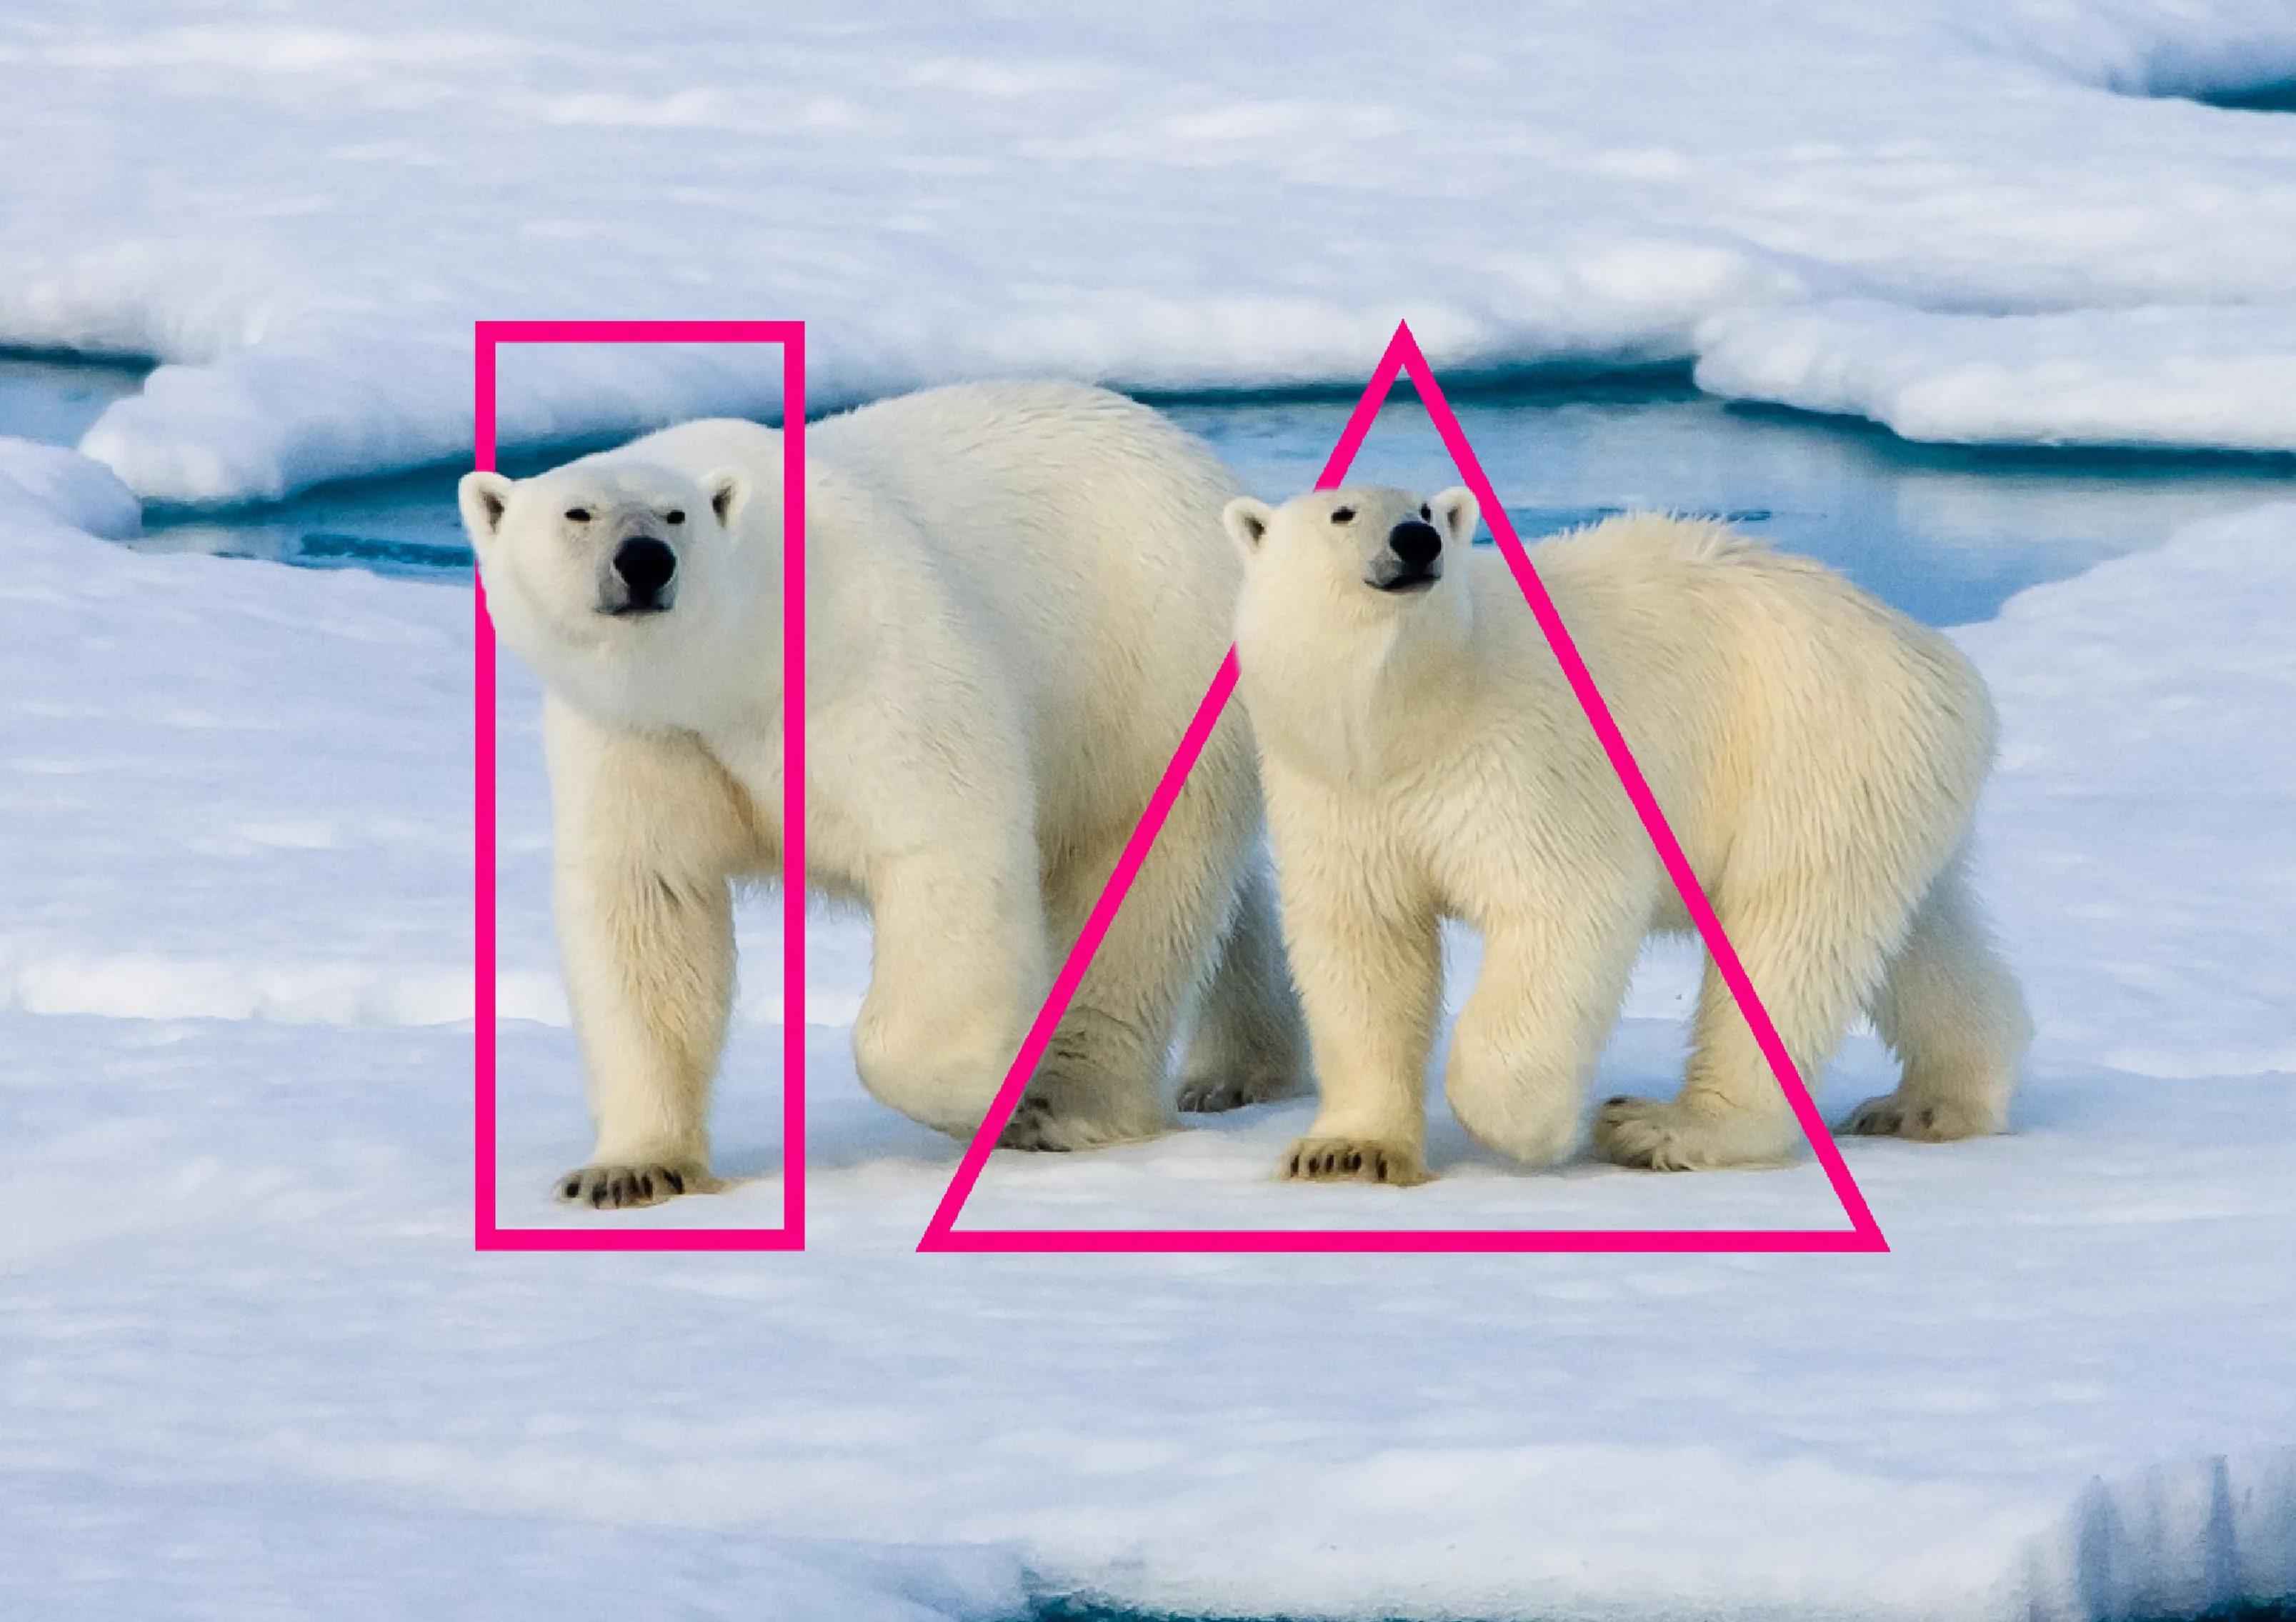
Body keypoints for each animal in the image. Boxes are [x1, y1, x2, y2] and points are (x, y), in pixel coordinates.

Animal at [460, 381, 1307, 1208]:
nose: (644, 561)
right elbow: (648, 904)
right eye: (578, 513)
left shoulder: (861, 657)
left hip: (1147, 674)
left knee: (1135, 883)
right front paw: (627, 1170)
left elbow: (943, 841)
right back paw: (1238, 1070)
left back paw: (1072, 1102)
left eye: (677, 514)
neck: (734, 667)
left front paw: (998, 1095)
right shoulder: (644, 735)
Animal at [1221, 484, 2030, 1184]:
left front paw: (1531, 1129)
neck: (1406, 717)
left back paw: (1667, 1127)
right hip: (1885, 785)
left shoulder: (1520, 759)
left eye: (1424, 510)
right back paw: (1933, 1101)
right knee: (1916, 937)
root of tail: (1938, 659)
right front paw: (1345, 1151)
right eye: (1343, 513)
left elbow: (1566, 903)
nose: (1415, 543)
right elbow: (1362, 945)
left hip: (1811, 750)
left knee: (1784, 935)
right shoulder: (1339, 795)